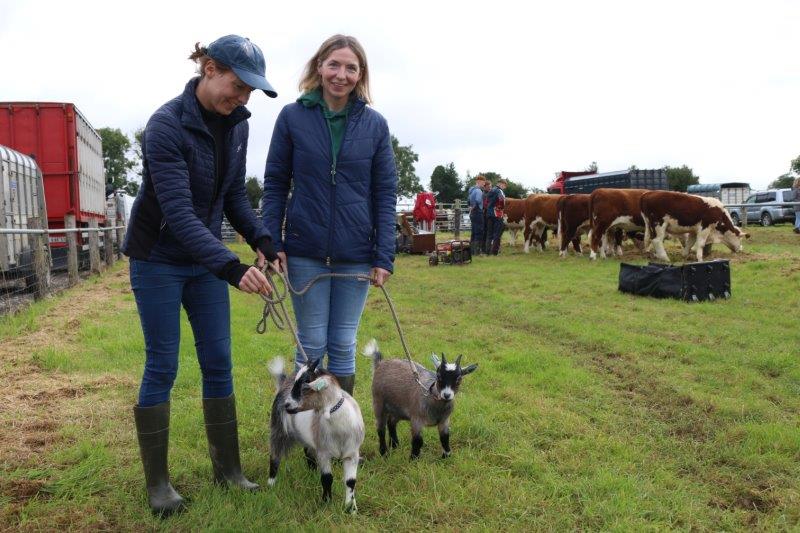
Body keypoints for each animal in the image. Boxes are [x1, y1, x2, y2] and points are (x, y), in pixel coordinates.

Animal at [267, 357, 365, 514]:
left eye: (306, 384)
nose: (287, 404)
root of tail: (284, 383)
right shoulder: (324, 453)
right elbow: (327, 478)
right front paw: (326, 502)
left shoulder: (352, 454)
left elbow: (350, 482)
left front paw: (351, 508)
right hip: (279, 428)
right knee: (275, 456)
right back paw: (271, 484)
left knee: (308, 452)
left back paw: (312, 472)